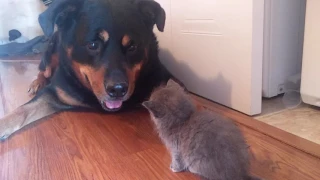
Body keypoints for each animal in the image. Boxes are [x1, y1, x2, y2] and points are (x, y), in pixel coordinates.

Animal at [0, 0, 172, 139]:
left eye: (132, 46)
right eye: (93, 44)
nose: (118, 90)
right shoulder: (55, 92)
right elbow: (23, 110)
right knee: (44, 70)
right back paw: (37, 82)